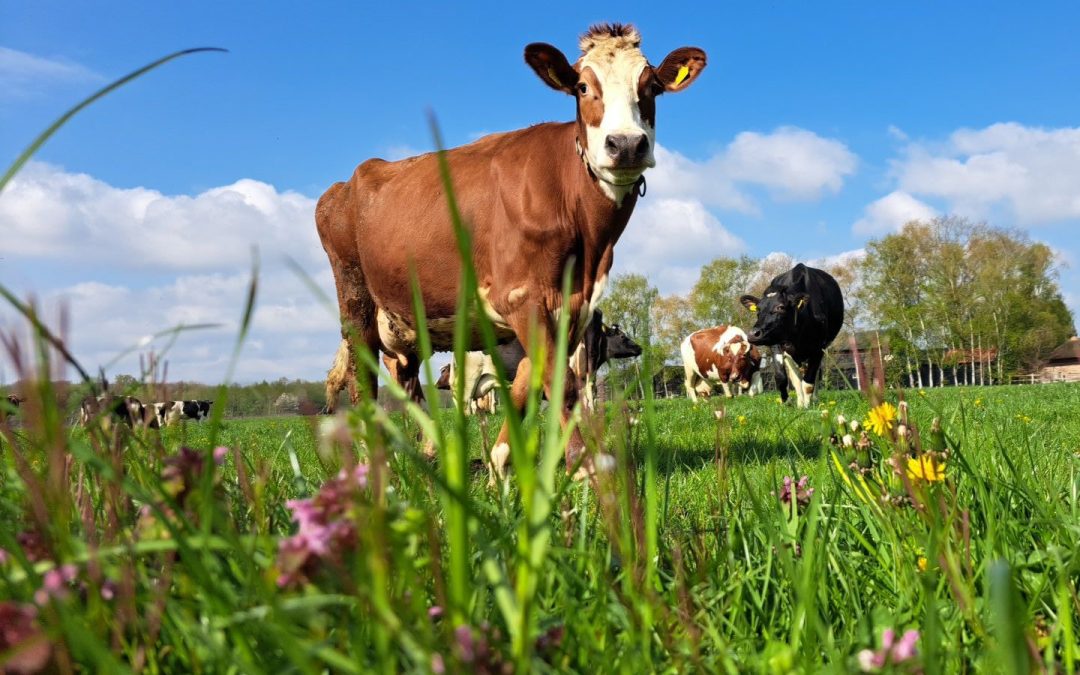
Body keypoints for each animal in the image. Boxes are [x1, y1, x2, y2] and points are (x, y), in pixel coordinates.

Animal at [317, 24, 708, 479]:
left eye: (653, 87)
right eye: (582, 86)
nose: (626, 144)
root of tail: (349, 181)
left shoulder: (570, 307)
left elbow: (528, 383)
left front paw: (500, 463)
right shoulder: (521, 295)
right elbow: (561, 385)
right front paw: (584, 467)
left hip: (403, 326)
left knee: (409, 387)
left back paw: (426, 456)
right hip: (354, 300)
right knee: (362, 384)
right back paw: (371, 468)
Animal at [743, 263, 842, 408]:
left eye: (781, 307)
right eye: (758, 310)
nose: (753, 334)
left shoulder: (818, 347)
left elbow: (809, 381)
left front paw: (807, 406)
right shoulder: (777, 343)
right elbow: (781, 377)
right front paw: (788, 403)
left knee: (815, 375)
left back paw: (813, 399)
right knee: (796, 378)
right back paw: (800, 402)